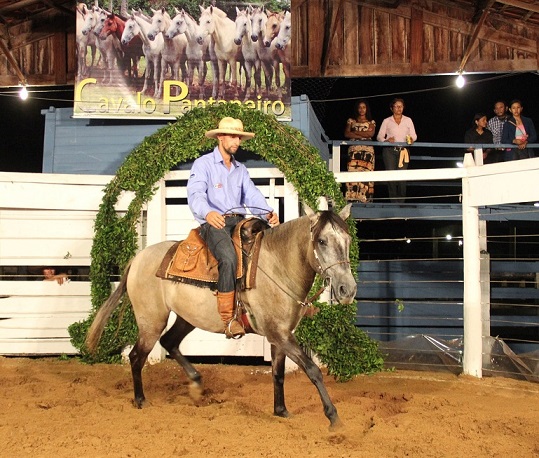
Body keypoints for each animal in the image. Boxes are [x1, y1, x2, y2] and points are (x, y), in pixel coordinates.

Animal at [86, 204, 356, 430]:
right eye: (321, 241)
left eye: (348, 239)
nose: (348, 289)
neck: (278, 266)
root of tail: (139, 258)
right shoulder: (279, 334)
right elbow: (313, 370)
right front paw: (333, 418)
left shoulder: (280, 335)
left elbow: (278, 374)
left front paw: (281, 411)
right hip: (151, 322)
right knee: (136, 356)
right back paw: (141, 400)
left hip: (186, 318)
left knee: (169, 342)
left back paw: (196, 384)